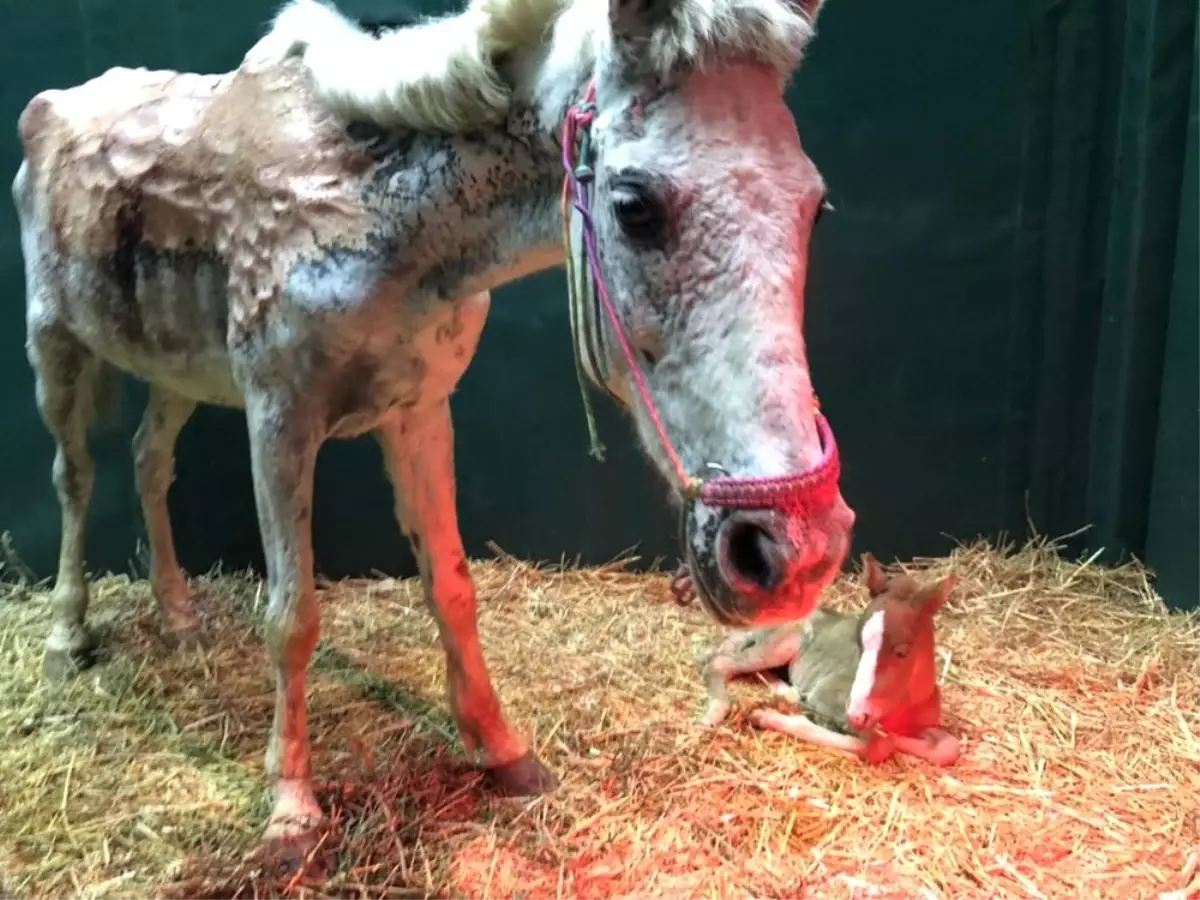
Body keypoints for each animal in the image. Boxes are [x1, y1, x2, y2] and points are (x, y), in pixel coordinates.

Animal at [11, 0, 854, 840]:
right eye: (634, 206)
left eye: (815, 204)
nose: (794, 553)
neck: (374, 214)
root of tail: (49, 106)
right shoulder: (279, 420)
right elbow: (292, 616)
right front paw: (290, 805)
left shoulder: (420, 410)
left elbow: (451, 585)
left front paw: (501, 747)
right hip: (54, 343)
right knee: (74, 477)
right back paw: (65, 637)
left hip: (175, 367)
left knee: (151, 463)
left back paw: (179, 615)